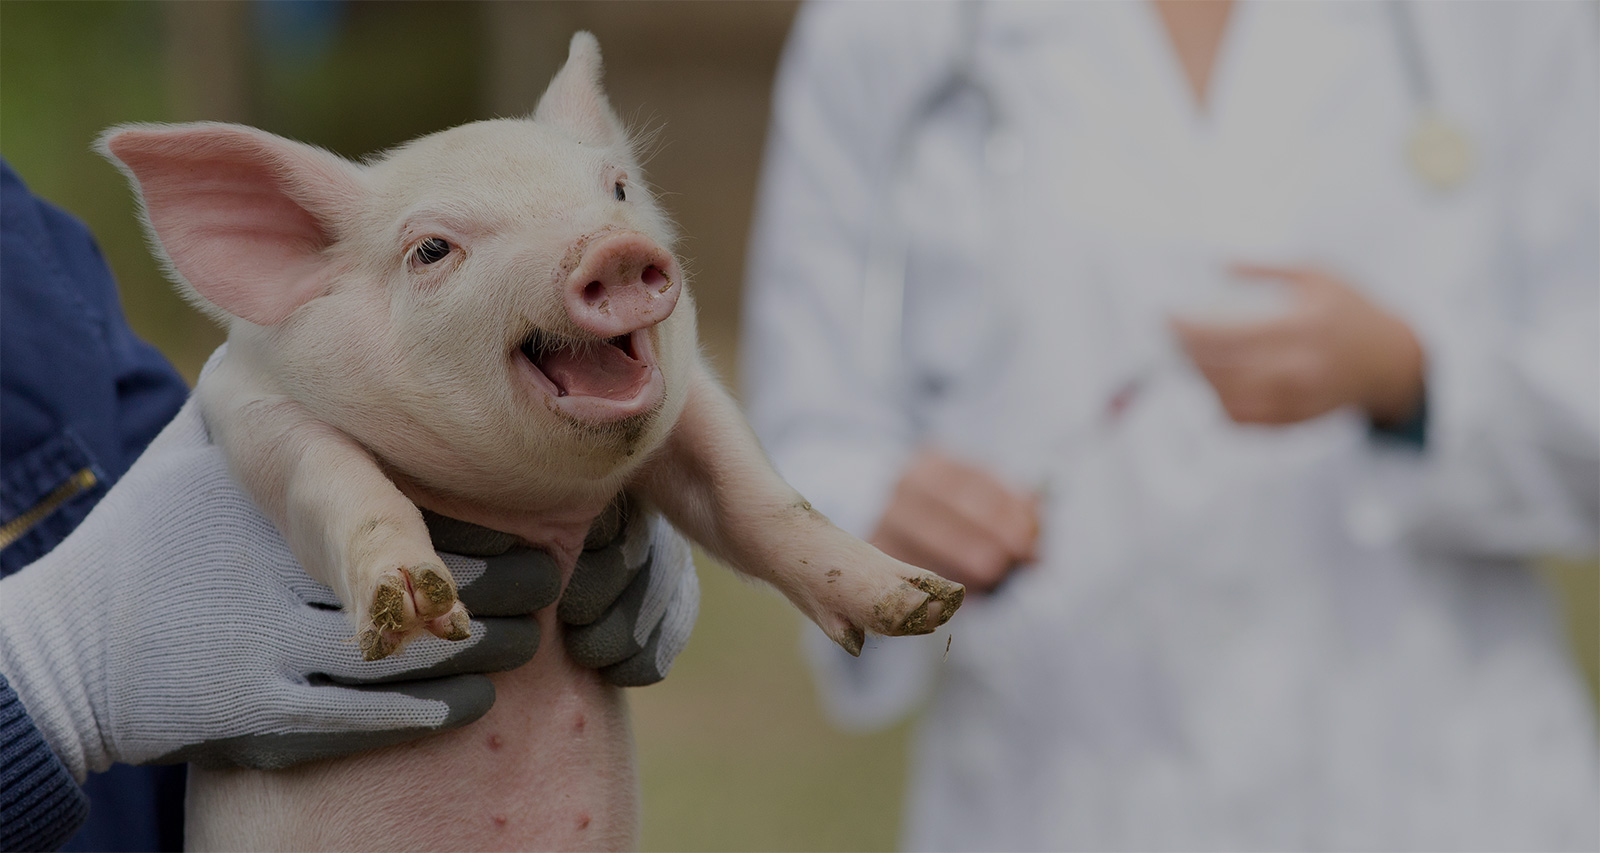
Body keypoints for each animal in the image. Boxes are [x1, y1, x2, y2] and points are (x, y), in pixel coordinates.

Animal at [99, 32, 963, 851]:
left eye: (617, 190)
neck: (534, 505)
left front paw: (926, 599)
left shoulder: (695, 400)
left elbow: (757, 497)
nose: (613, 247)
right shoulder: (247, 402)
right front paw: (419, 609)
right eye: (432, 248)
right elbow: (335, 478)